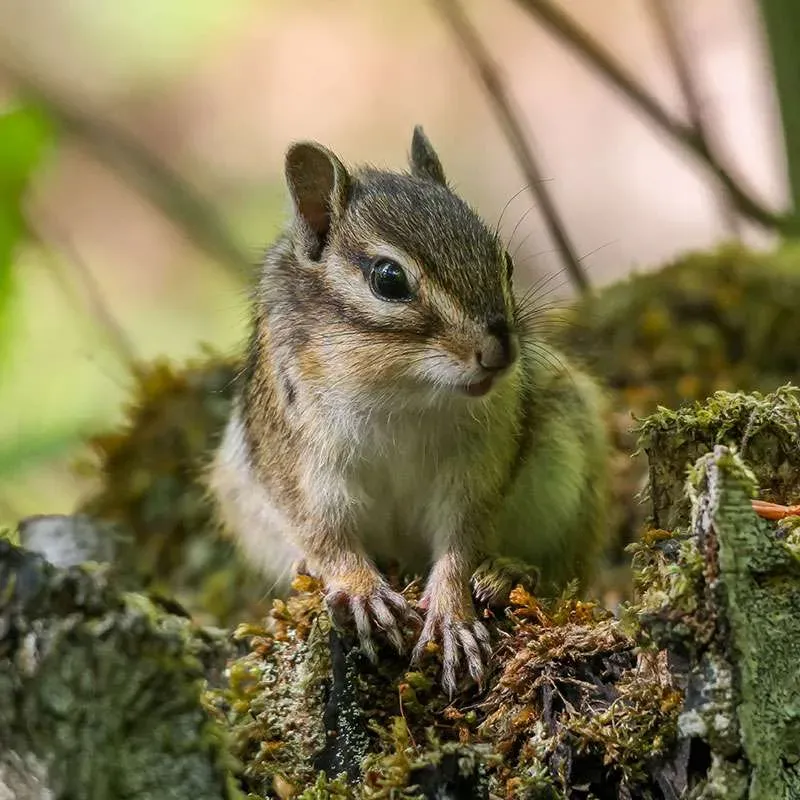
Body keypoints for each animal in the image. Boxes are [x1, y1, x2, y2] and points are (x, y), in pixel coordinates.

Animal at [208, 126, 610, 695]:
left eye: (505, 261)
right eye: (389, 278)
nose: (501, 351)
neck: (402, 391)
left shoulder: (476, 467)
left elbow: (463, 538)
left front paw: (452, 613)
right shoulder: (300, 465)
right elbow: (324, 532)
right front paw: (359, 589)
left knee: (564, 566)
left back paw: (508, 573)